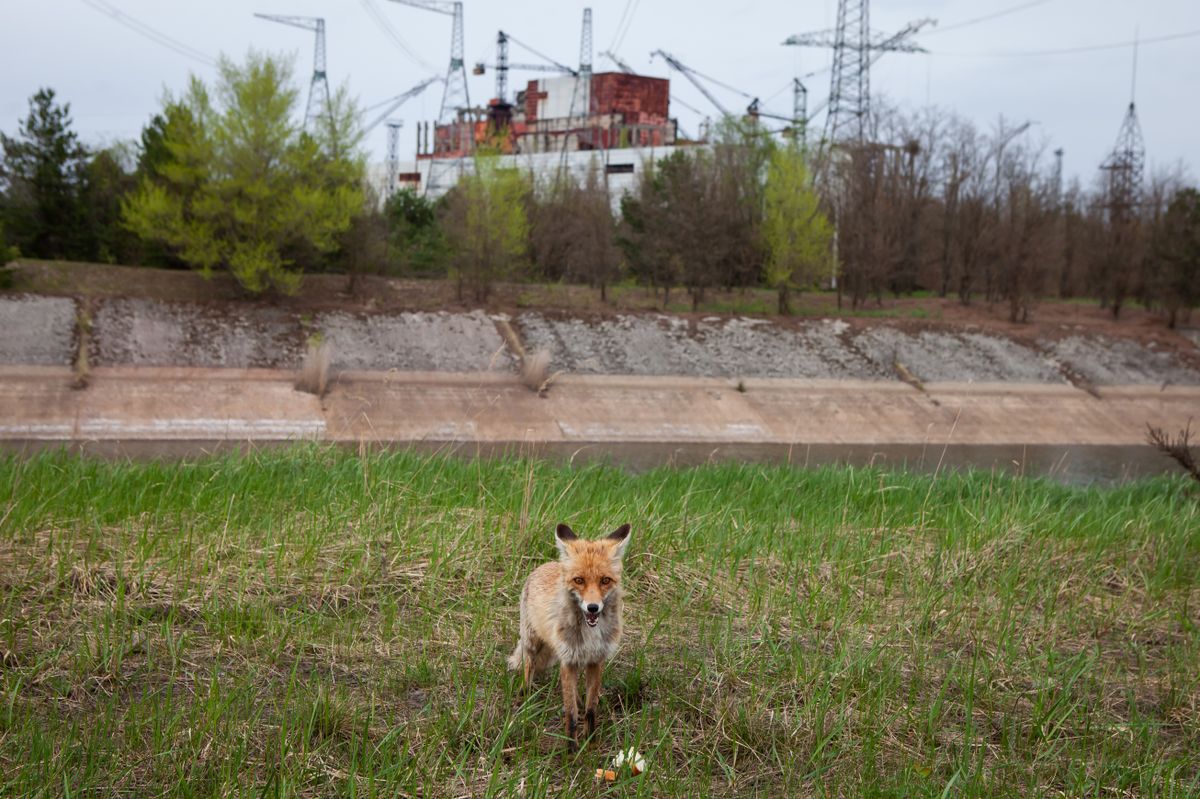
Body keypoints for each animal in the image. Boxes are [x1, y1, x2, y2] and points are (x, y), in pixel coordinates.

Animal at [508, 522, 632, 749]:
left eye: (605, 580)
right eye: (579, 580)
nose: (593, 608)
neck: (590, 633)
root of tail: (546, 564)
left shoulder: (595, 660)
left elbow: (591, 709)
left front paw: (590, 742)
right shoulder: (568, 660)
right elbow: (571, 714)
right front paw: (571, 749)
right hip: (532, 642)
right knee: (528, 667)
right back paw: (524, 696)